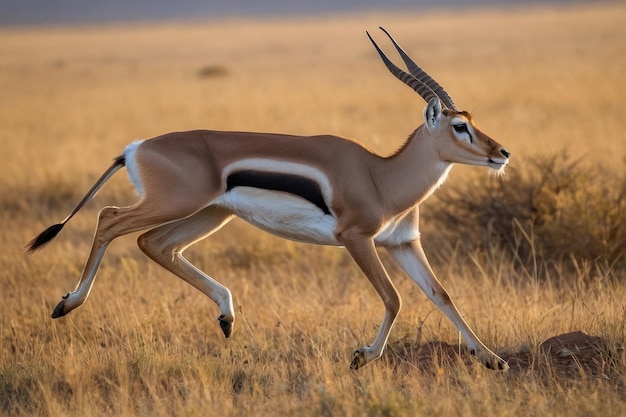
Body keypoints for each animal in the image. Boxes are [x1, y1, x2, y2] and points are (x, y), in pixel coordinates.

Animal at [26, 27, 510, 368]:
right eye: (459, 126)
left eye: (470, 120)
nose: (502, 153)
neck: (381, 176)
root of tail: (135, 148)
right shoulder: (357, 238)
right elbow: (394, 298)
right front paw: (362, 356)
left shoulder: (402, 243)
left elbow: (442, 295)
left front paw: (492, 360)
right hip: (175, 204)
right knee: (109, 218)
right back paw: (67, 304)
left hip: (210, 214)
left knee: (155, 244)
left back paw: (226, 317)